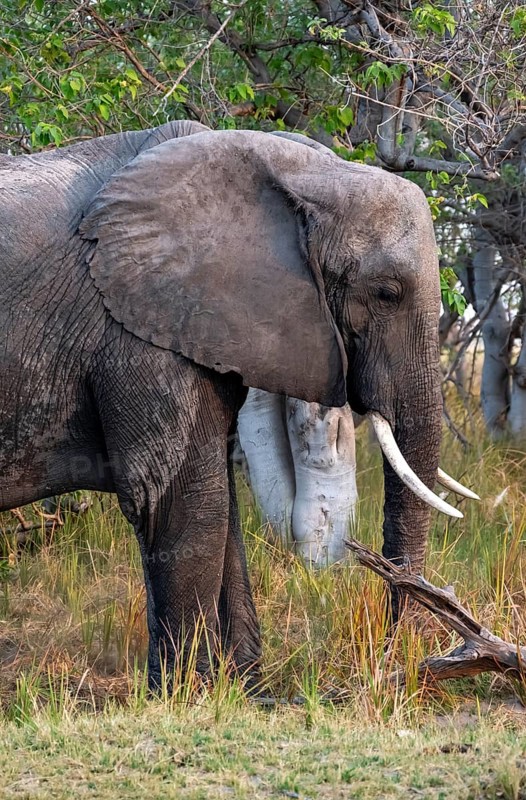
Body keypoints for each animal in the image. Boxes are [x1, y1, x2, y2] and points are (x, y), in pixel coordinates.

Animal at [0, 119, 478, 690]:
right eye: (387, 293)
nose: (393, 659)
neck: (304, 170)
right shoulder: (137, 333)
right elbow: (183, 501)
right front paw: (188, 691)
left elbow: (219, 501)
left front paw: (247, 687)